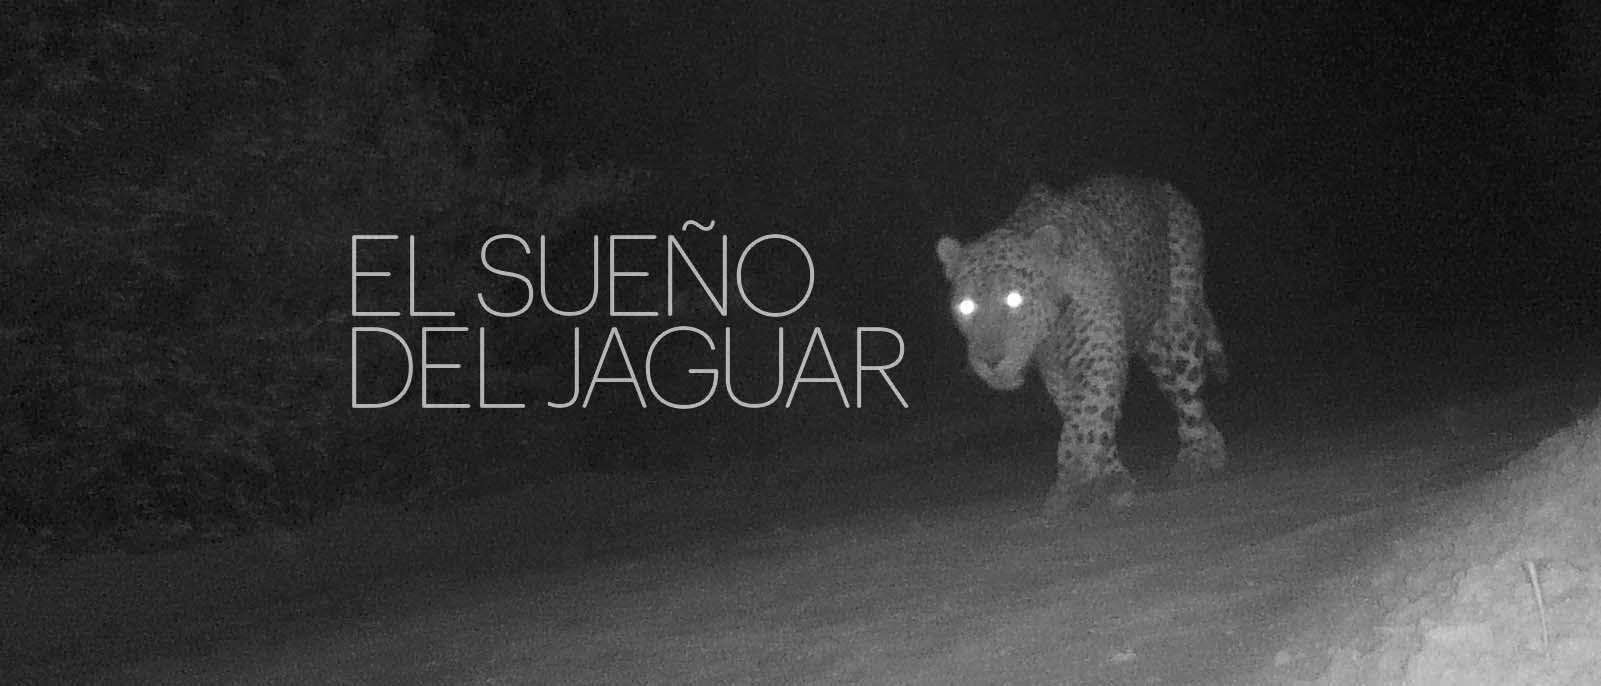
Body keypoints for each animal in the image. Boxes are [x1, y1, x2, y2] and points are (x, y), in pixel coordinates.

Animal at [936, 175, 1229, 517]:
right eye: (966, 306)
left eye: (1014, 299)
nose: (990, 360)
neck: (1054, 326)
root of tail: (1163, 186)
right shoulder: (1056, 370)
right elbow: (1088, 416)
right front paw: (1110, 478)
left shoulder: (1099, 353)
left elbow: (1085, 417)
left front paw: (1073, 482)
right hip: (1154, 344)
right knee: (1179, 390)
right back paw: (1212, 444)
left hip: (1177, 324)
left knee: (1189, 392)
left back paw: (1196, 457)